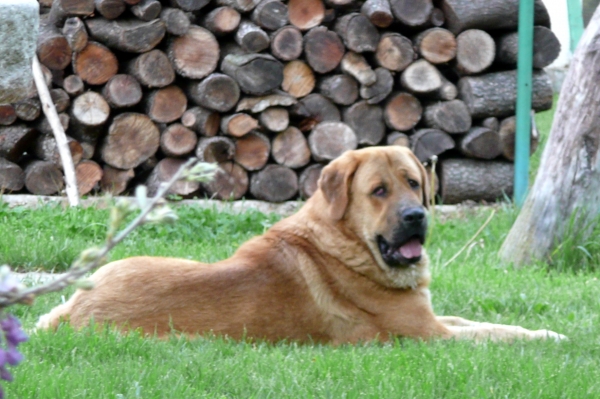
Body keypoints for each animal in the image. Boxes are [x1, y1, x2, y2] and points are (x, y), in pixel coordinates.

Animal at [38, 147, 568, 344]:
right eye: (379, 191)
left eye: (414, 183)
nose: (416, 217)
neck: (345, 245)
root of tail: (72, 315)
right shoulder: (428, 336)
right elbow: (496, 335)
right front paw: (549, 339)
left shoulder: (436, 320)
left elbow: (489, 323)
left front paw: (542, 330)